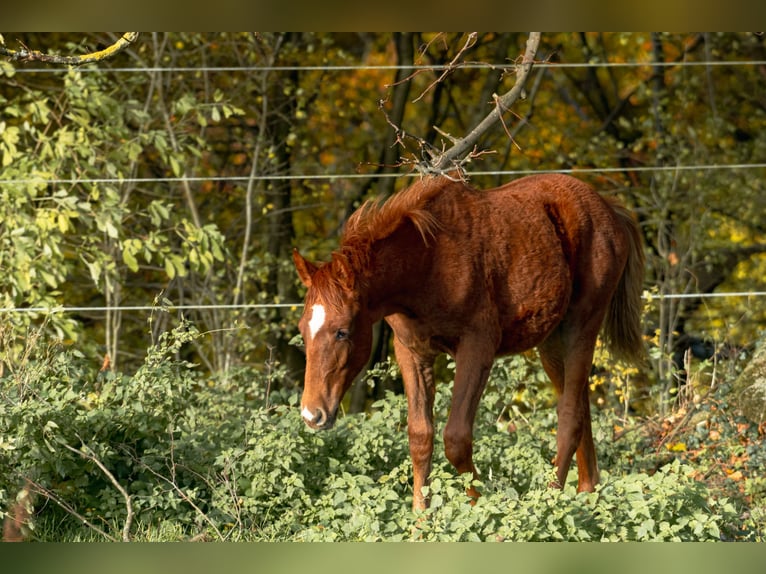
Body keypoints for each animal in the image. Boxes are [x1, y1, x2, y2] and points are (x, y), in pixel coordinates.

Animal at [292, 173, 644, 511]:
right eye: (303, 330)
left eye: (342, 331)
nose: (312, 415)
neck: (429, 261)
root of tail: (609, 208)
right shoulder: (412, 351)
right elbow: (420, 435)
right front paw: (420, 519)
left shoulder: (477, 347)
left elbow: (456, 439)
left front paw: (484, 509)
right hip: (551, 342)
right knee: (580, 407)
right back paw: (588, 493)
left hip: (581, 326)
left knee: (570, 416)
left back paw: (550, 500)